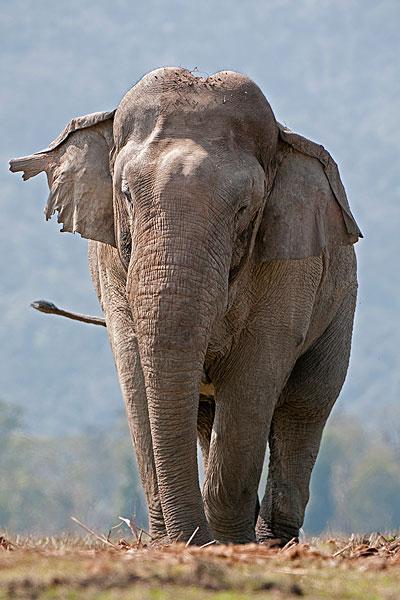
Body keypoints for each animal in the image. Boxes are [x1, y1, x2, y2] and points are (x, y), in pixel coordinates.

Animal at [9, 68, 360, 548]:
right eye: (127, 196)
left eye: (244, 208)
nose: (40, 304)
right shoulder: (110, 265)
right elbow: (135, 373)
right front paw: (177, 542)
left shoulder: (290, 268)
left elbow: (254, 376)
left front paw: (231, 544)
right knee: (206, 416)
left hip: (342, 302)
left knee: (304, 403)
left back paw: (271, 541)